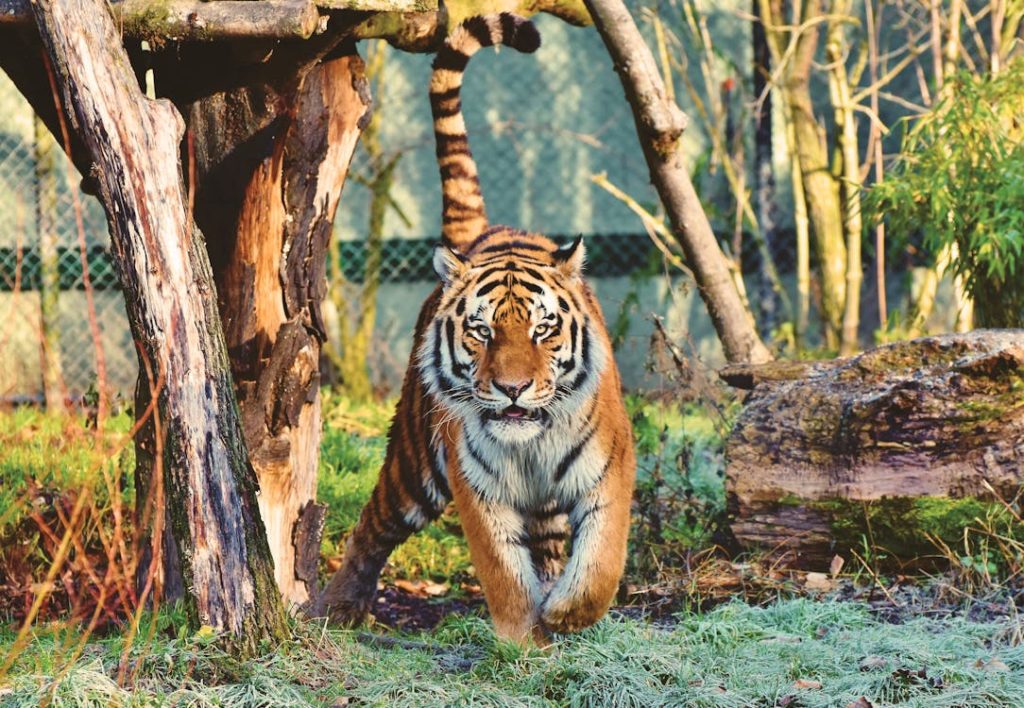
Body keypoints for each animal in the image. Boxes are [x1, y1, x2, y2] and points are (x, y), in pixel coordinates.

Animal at [323, 12, 634, 643]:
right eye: (482, 332)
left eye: (543, 330)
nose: (512, 389)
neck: (531, 445)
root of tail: (484, 232)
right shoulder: (478, 487)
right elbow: (502, 572)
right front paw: (521, 637)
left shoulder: (609, 470)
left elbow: (601, 563)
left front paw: (565, 613)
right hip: (413, 464)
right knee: (372, 524)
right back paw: (337, 606)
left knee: (550, 545)